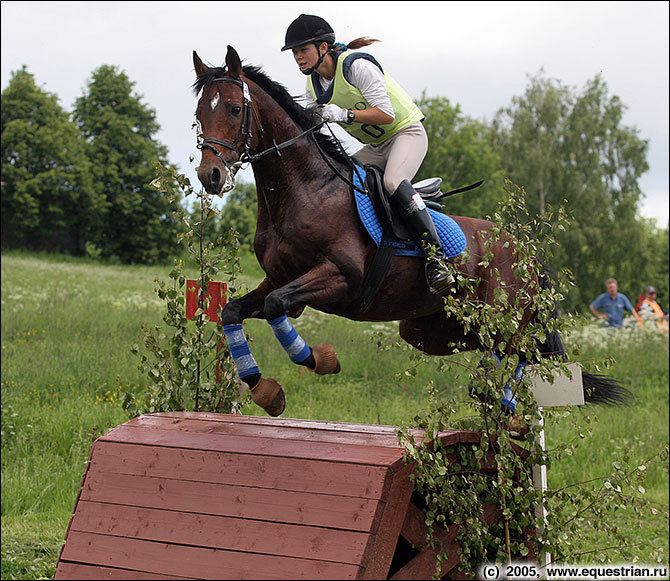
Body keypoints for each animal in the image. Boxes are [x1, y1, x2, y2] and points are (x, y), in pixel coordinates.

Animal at [190, 46, 632, 416]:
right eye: (198, 114)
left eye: (234, 109)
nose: (211, 176)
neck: (305, 188)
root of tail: (523, 246)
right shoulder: (280, 279)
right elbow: (237, 310)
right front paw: (265, 390)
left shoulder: (341, 277)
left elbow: (276, 306)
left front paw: (320, 360)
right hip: (429, 328)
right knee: (492, 350)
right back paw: (491, 393)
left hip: (502, 316)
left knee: (519, 349)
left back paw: (501, 395)